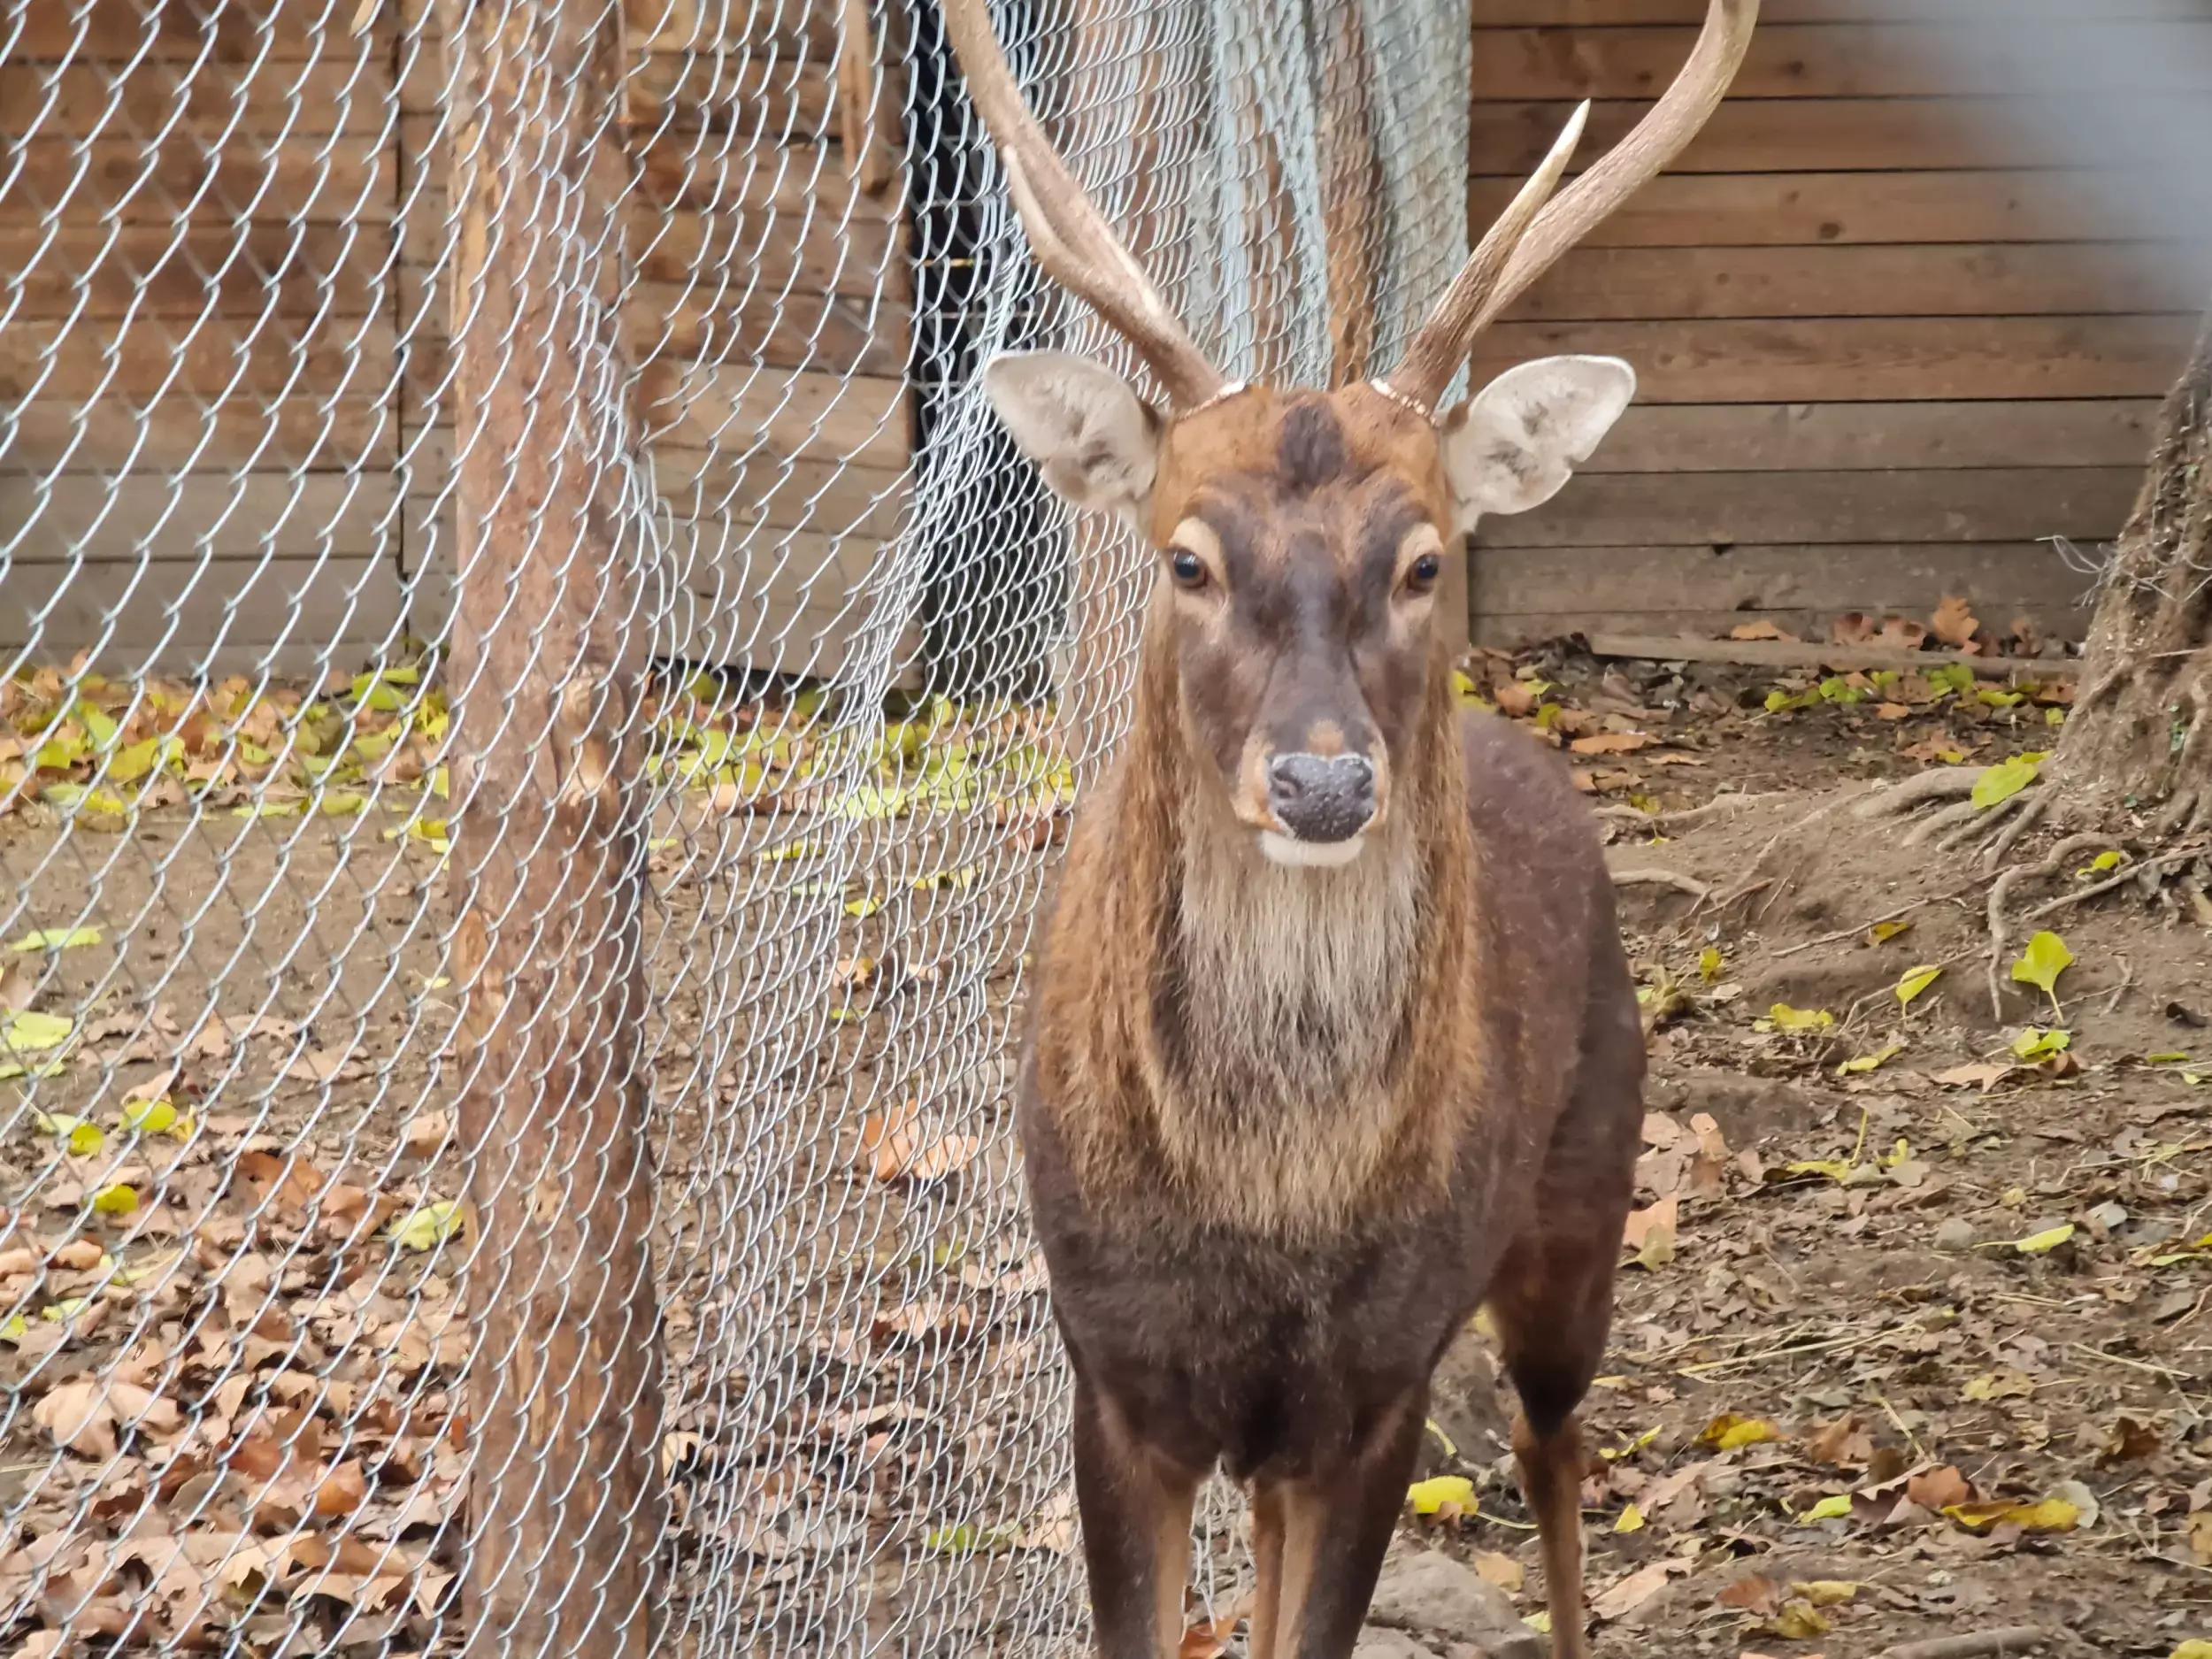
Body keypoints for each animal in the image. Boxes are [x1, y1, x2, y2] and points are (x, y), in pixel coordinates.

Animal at [938, 6, 1761, 1655]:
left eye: (1425, 559)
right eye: (1187, 556)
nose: (1322, 784)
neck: (1267, 1218)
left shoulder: (1381, 1386)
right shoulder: (1111, 1373)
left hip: (1590, 1182)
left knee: (1557, 1444)